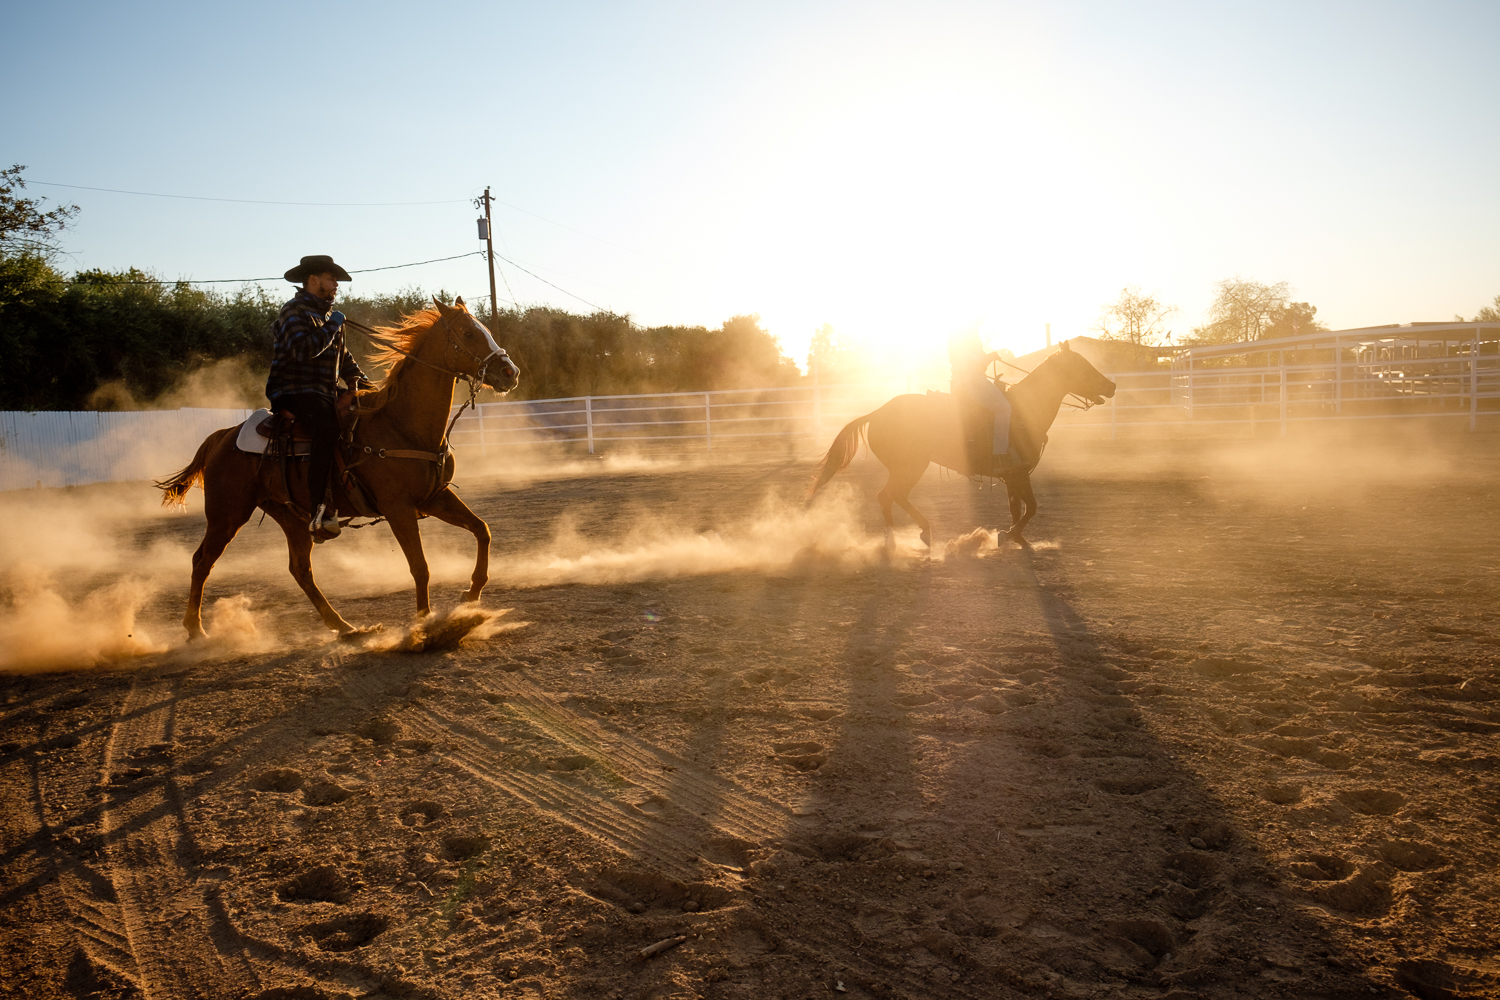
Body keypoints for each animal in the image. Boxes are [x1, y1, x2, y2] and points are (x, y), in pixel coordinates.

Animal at [156, 299, 522, 641]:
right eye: (469, 333)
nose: (510, 372)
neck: (400, 424)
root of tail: (223, 436)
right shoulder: (398, 508)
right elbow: (420, 566)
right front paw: (424, 625)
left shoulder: (435, 497)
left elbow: (482, 530)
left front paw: (470, 596)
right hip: (227, 514)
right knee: (202, 561)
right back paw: (195, 629)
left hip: (291, 516)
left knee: (300, 569)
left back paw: (344, 626)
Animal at [810, 341, 1116, 548]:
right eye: (1081, 364)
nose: (1112, 386)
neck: (1024, 411)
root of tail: (877, 412)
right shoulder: (1019, 474)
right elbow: (1031, 507)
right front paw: (1009, 534)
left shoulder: (1012, 477)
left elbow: (1017, 508)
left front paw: (1017, 539)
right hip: (910, 466)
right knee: (887, 496)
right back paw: (897, 539)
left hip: (908, 468)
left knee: (895, 496)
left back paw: (920, 531)